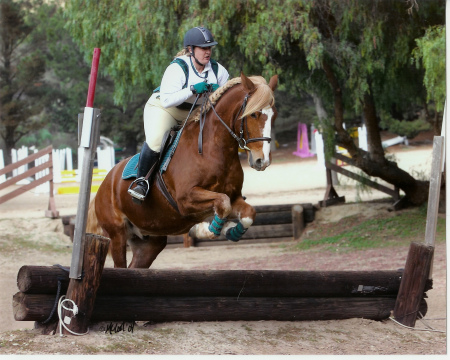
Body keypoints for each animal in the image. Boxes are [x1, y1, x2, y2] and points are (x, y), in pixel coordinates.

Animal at [86, 72, 278, 268]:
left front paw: (230, 230)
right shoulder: (185, 200)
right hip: (117, 235)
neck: (212, 150)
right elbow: (222, 203)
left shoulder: (235, 197)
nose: (262, 160)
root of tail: (103, 186)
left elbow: (247, 212)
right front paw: (206, 229)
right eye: (253, 114)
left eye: (274, 116)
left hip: (149, 240)